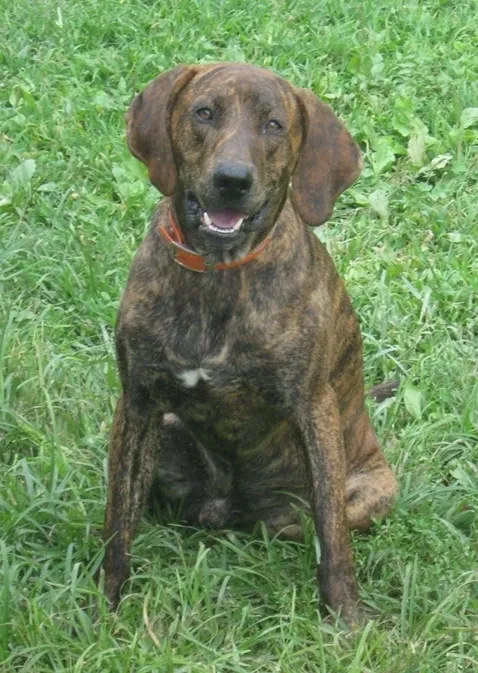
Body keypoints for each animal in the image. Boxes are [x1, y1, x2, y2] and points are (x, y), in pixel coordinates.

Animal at [102, 63, 400, 624]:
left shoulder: (314, 409)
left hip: (368, 490)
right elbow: (117, 521)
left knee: (316, 523)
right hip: (168, 429)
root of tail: (230, 507)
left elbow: (334, 541)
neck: (219, 272)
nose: (232, 180)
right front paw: (105, 606)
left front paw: (348, 621)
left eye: (274, 125)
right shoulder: (139, 404)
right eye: (204, 112)